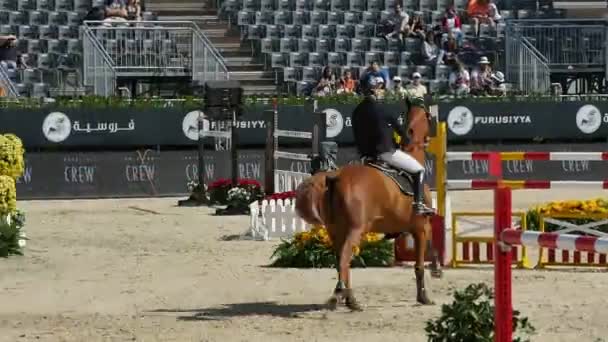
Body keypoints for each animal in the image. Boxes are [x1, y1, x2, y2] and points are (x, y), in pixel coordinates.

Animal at [296, 96, 442, 310]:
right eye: (430, 117)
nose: (429, 139)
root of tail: (335, 177)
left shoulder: (417, 226)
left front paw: (436, 269)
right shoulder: (420, 226)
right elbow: (420, 263)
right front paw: (425, 294)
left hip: (335, 230)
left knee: (341, 260)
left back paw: (349, 299)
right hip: (355, 229)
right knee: (344, 259)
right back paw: (340, 295)